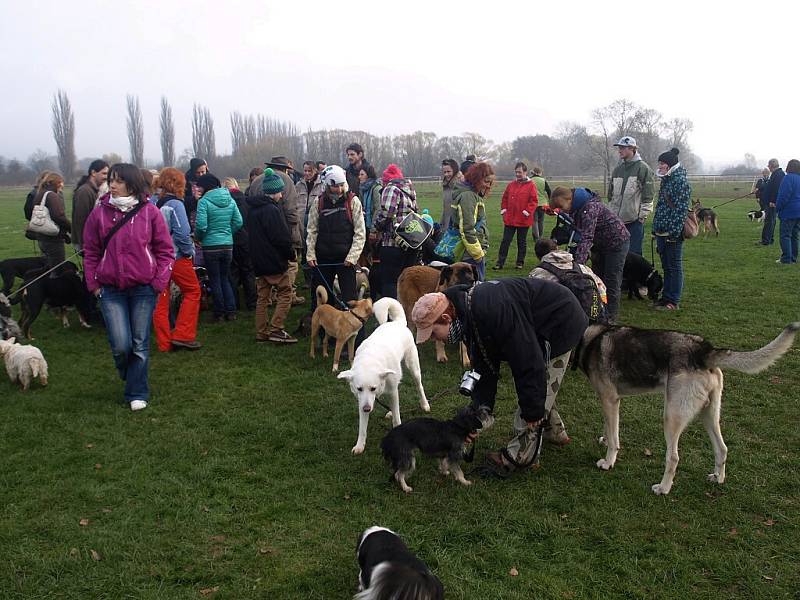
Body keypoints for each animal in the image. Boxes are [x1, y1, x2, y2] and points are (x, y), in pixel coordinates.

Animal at [336, 296, 428, 454]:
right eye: (359, 389)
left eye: (373, 388)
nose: (367, 409)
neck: (369, 361)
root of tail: (397, 322)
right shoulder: (362, 400)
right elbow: (362, 428)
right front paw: (360, 446)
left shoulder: (390, 392)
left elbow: (397, 419)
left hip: (413, 368)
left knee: (419, 386)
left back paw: (425, 404)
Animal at [576, 322, 800, 494]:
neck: (589, 338)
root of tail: (704, 350)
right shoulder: (610, 402)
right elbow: (609, 428)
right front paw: (604, 440)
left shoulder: (610, 399)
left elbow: (615, 439)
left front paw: (608, 462)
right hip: (708, 416)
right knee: (722, 449)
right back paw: (718, 478)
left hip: (671, 418)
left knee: (673, 457)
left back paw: (663, 489)